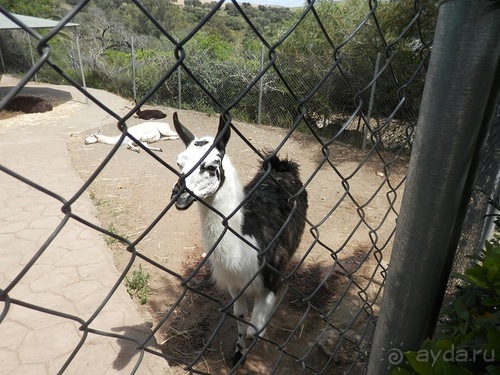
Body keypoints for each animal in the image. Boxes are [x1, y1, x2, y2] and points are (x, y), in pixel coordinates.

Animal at [170, 113, 306, 368]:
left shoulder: (269, 279)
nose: (178, 195)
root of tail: (282, 167)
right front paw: (238, 356)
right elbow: (241, 321)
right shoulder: (236, 287)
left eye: (211, 166)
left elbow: (255, 328)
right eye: (179, 164)